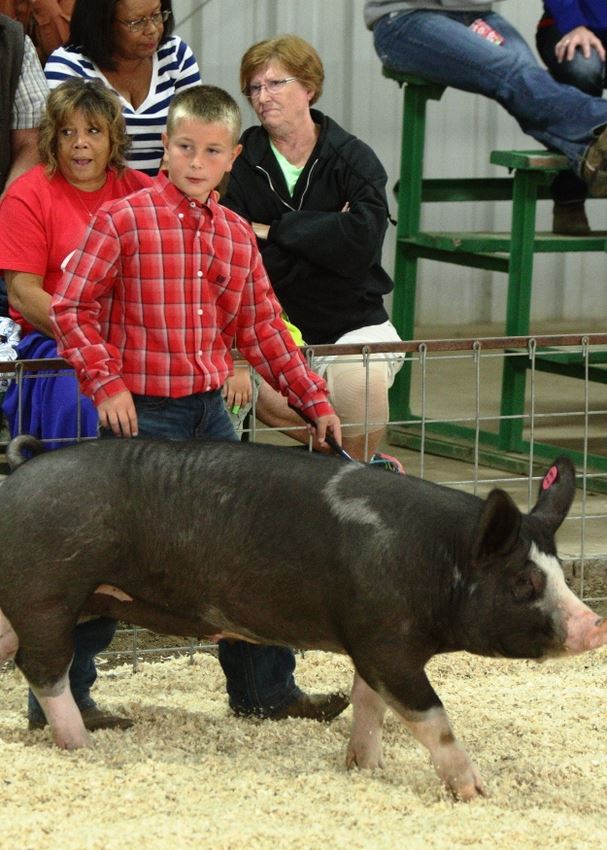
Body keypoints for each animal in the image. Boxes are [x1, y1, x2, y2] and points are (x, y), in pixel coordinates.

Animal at [0, 434, 605, 800]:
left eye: (558, 571)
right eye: (523, 582)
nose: (595, 624)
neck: (435, 561)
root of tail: (17, 474)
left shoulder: (367, 638)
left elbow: (366, 702)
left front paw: (365, 767)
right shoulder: (388, 643)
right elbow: (432, 718)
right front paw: (476, 792)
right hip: (48, 594)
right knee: (46, 670)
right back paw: (83, 746)